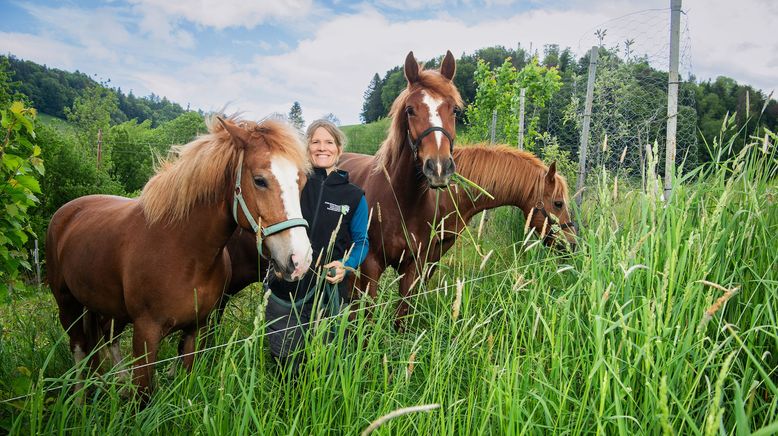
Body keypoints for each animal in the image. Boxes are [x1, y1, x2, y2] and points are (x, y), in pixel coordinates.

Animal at [45, 114, 310, 394]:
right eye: (260, 180)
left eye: (301, 182)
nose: (300, 259)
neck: (183, 252)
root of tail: (67, 211)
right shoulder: (146, 333)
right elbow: (145, 393)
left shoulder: (197, 326)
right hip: (67, 304)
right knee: (80, 348)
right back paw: (81, 396)